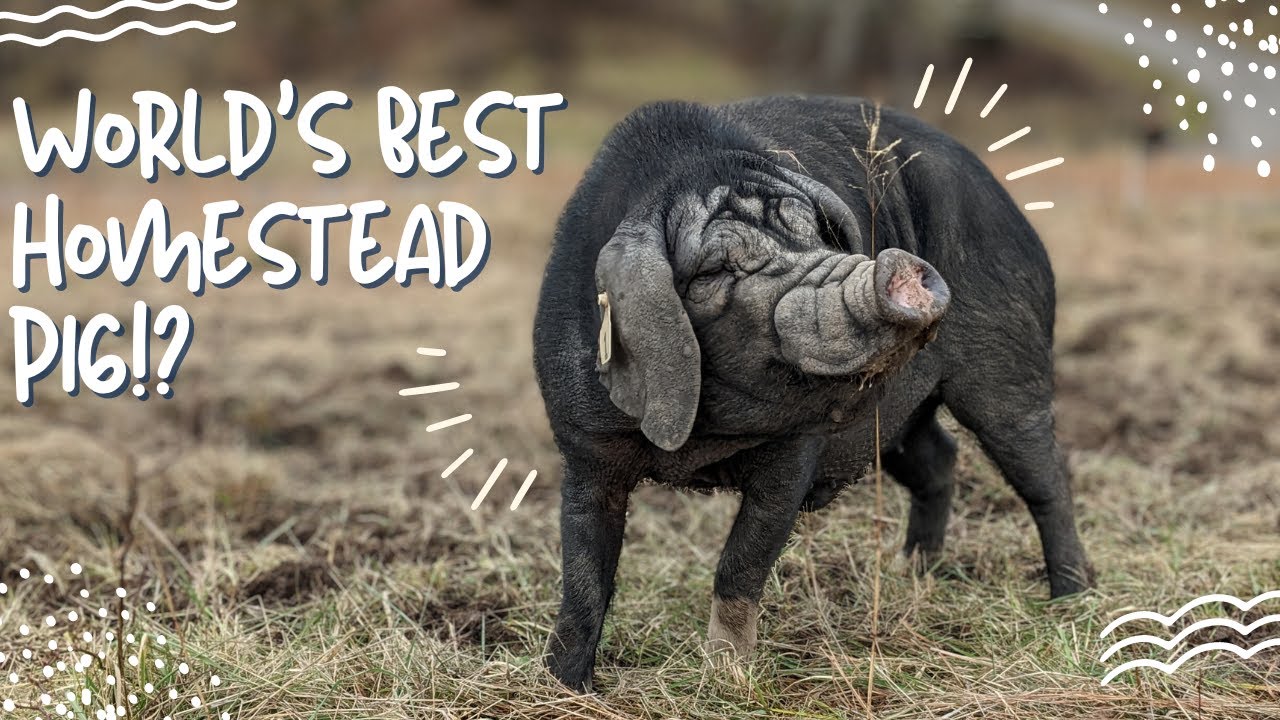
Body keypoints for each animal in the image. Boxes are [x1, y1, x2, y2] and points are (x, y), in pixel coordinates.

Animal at [531, 96, 1091, 692]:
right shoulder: (585, 446)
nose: (896, 263)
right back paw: (914, 570)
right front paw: (565, 686)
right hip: (893, 421)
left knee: (1044, 475)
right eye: (713, 269)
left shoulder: (797, 448)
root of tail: (1002, 196)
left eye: (820, 235)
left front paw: (726, 678)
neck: (703, 441)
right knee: (940, 457)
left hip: (1010, 366)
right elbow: (583, 574)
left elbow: (741, 562)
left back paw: (1071, 600)